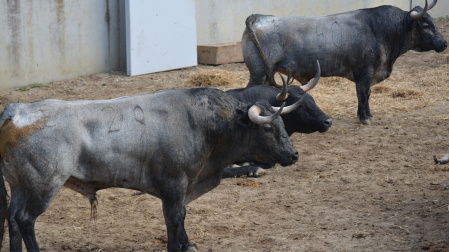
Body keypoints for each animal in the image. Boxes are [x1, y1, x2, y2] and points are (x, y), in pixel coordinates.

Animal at [1, 87, 300, 252]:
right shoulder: (174, 185)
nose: (294, 154)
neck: (203, 124)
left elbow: (182, 216)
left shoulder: (184, 186)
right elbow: (174, 218)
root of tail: (17, 110)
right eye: (268, 129)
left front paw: (187, 244)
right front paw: (178, 246)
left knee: (12, 218)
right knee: (25, 219)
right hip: (44, 187)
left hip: (19, 186)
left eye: (283, 126)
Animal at [243, 0, 446, 125]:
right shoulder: (364, 73)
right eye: (426, 25)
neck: (379, 29)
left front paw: (368, 115)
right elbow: (363, 95)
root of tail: (257, 17)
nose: (444, 43)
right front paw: (364, 118)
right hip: (258, 73)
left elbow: (367, 95)